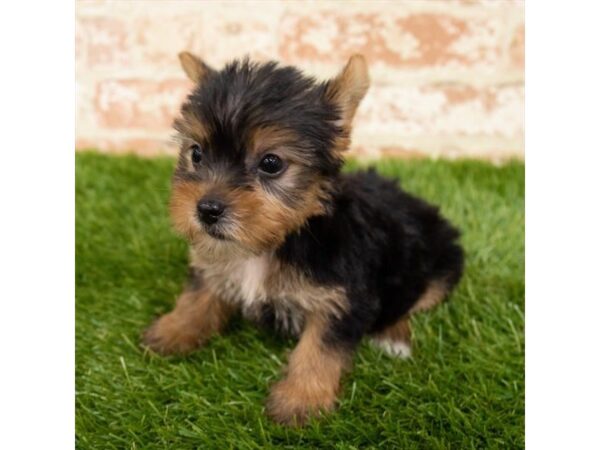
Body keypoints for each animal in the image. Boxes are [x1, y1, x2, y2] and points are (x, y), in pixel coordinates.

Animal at [142, 51, 464, 426]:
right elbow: (198, 296)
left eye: (271, 163)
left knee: (418, 298)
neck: (275, 241)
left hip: (440, 263)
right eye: (196, 154)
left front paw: (301, 400)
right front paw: (173, 330)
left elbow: (320, 347)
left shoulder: (341, 297)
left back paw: (393, 335)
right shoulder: (217, 261)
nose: (206, 209)